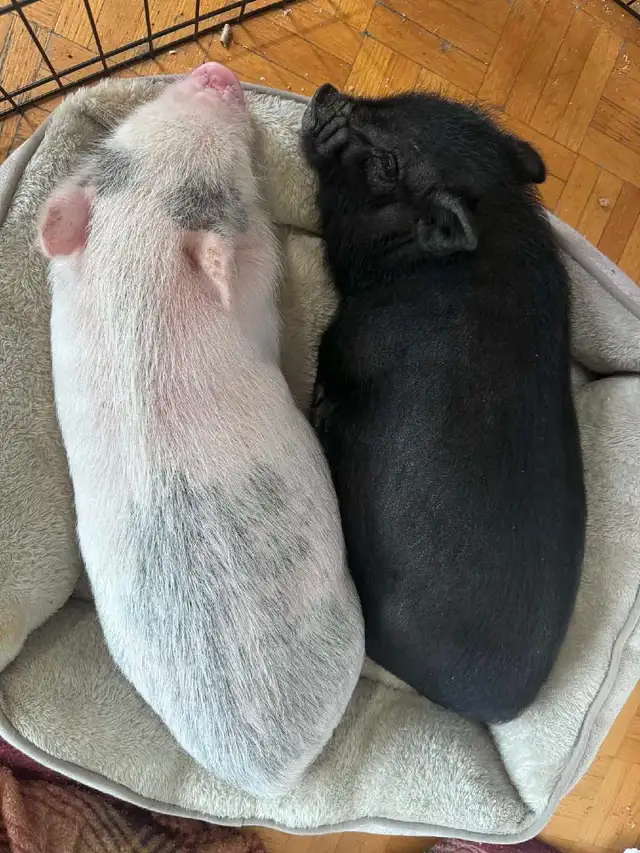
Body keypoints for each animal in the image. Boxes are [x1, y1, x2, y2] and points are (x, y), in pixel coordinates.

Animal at [38, 63, 364, 797]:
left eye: (114, 150)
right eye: (230, 185)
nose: (216, 72)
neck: (138, 263)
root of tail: (273, 773)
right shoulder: (260, 295)